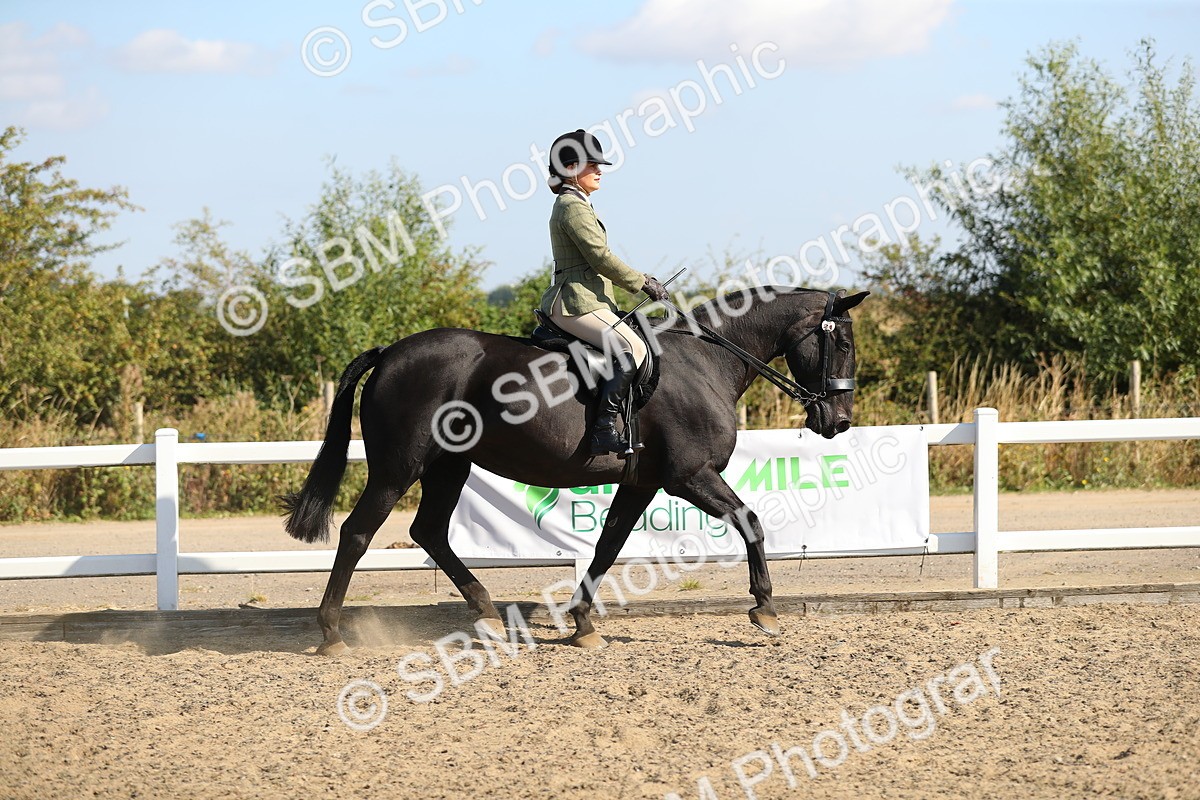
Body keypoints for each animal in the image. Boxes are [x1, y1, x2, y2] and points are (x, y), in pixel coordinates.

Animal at [282, 286, 868, 654]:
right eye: (841, 342)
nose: (839, 421)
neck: (706, 364)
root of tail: (389, 354)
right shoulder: (690, 476)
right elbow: (750, 521)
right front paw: (765, 608)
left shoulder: (642, 483)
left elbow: (608, 546)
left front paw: (583, 624)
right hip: (398, 468)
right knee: (357, 534)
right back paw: (332, 634)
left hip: (449, 466)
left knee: (428, 531)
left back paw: (487, 614)